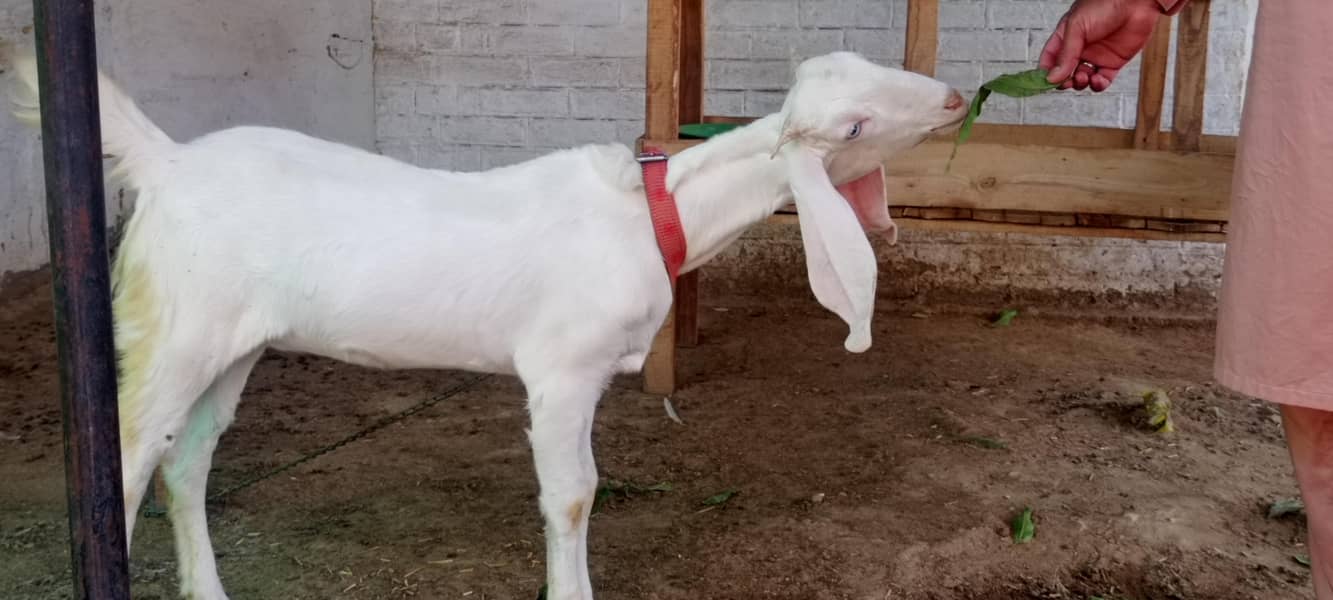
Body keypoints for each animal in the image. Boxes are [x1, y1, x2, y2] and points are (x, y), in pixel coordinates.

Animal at [5, 47, 967, 600]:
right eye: (855, 125)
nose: (957, 98)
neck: (649, 217)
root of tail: (165, 163)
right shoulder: (563, 369)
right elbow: (573, 492)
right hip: (174, 327)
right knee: (124, 465)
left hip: (232, 343)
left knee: (188, 461)